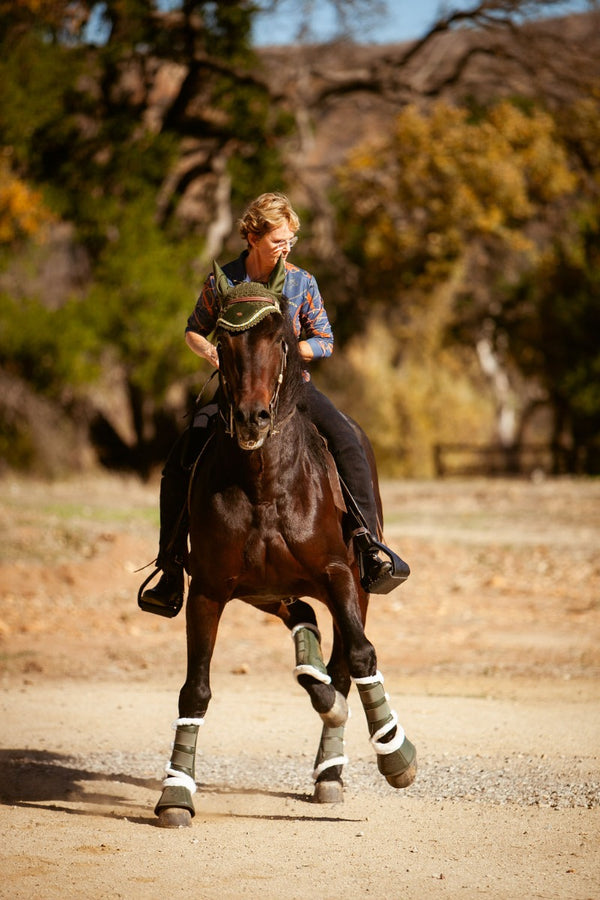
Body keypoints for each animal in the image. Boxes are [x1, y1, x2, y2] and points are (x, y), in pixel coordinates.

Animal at [154, 262, 418, 828]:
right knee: (304, 620)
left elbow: (361, 656)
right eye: (223, 341)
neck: (264, 482)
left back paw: (332, 768)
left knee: (340, 664)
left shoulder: (339, 574)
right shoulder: (209, 590)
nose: (252, 418)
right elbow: (196, 689)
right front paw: (175, 792)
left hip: (351, 583)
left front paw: (396, 756)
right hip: (262, 591)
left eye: (279, 339)